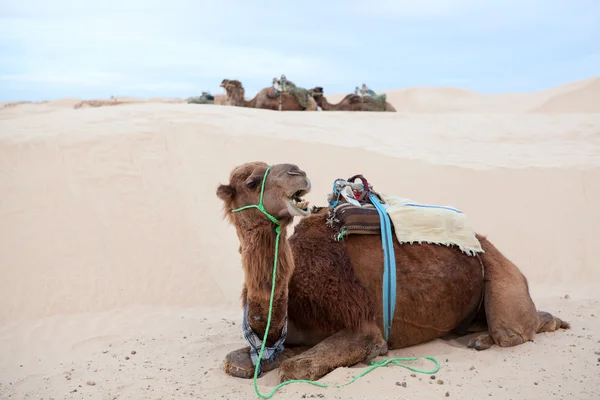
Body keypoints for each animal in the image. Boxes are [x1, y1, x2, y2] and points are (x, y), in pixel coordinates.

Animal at [214, 161, 568, 382]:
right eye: (251, 181)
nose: (296, 172)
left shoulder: (362, 323)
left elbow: (294, 368)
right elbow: (236, 363)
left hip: (502, 275)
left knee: (513, 330)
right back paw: (478, 336)